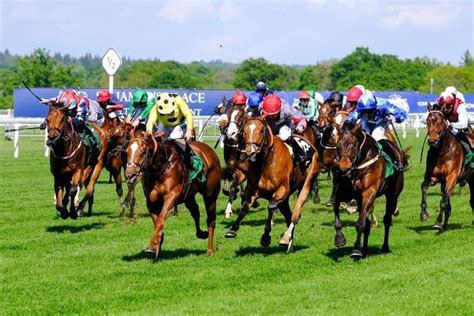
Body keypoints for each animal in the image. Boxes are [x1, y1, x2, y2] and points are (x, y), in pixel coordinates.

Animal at [125, 130, 223, 260]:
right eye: (126, 151)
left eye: (144, 151)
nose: (130, 176)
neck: (161, 167)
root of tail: (210, 151)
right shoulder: (151, 201)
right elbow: (157, 222)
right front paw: (157, 249)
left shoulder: (171, 196)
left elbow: (160, 220)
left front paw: (151, 245)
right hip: (189, 196)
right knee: (195, 212)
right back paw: (201, 233)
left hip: (210, 195)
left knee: (211, 221)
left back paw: (210, 250)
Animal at [225, 115, 320, 251]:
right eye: (244, 131)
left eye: (261, 131)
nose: (250, 153)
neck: (267, 161)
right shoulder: (252, 189)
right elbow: (245, 206)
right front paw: (232, 229)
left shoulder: (282, 190)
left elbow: (270, 207)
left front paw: (265, 237)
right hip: (285, 199)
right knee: (288, 215)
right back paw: (290, 243)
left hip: (307, 183)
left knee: (296, 214)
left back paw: (286, 237)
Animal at [334, 122, 404, 258]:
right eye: (338, 145)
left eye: (353, 144)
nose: (344, 168)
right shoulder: (344, 194)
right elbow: (337, 218)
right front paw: (339, 239)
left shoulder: (369, 193)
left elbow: (360, 224)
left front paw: (356, 250)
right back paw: (365, 250)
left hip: (393, 195)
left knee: (387, 219)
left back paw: (385, 247)